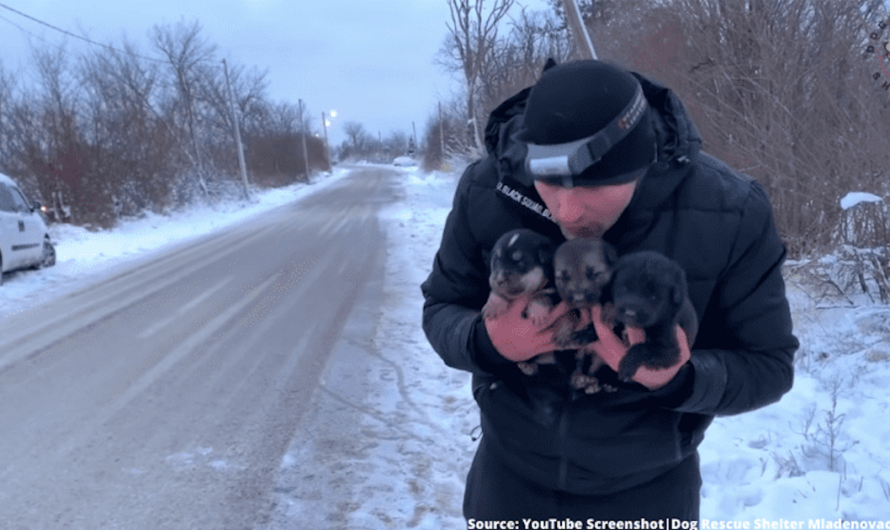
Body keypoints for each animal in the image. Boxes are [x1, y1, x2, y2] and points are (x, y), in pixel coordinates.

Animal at [600, 251, 696, 380]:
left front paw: (627, 365)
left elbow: (644, 347)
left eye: (653, 297)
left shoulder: (672, 349)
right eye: (624, 288)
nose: (629, 313)